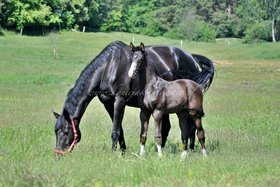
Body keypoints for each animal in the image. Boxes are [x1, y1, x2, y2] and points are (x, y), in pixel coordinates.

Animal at [53, 40, 214, 155]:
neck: (109, 66)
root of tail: (191, 57)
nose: (58, 154)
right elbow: (120, 129)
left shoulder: (120, 101)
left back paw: (190, 150)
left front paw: (113, 154)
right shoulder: (108, 104)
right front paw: (123, 152)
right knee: (168, 127)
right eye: (56, 131)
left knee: (192, 126)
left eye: (66, 131)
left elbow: (115, 130)